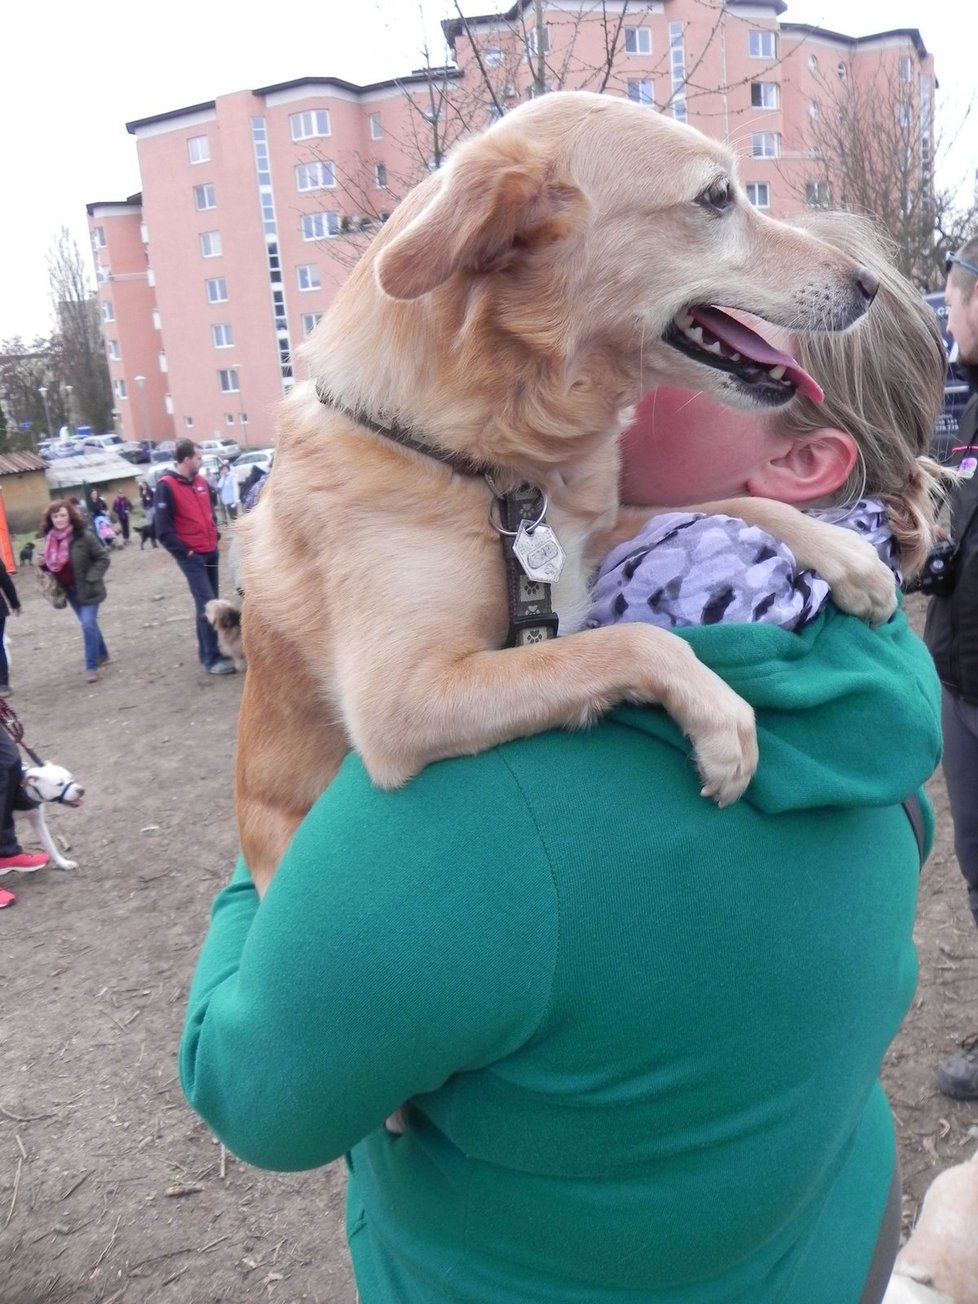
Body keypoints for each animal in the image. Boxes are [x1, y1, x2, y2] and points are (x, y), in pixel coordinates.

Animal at [236, 89, 886, 886]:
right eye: (716, 196)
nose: (872, 285)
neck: (493, 464)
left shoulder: (589, 537)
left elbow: (742, 502)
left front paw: (847, 557)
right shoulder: (400, 701)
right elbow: (628, 641)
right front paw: (719, 716)